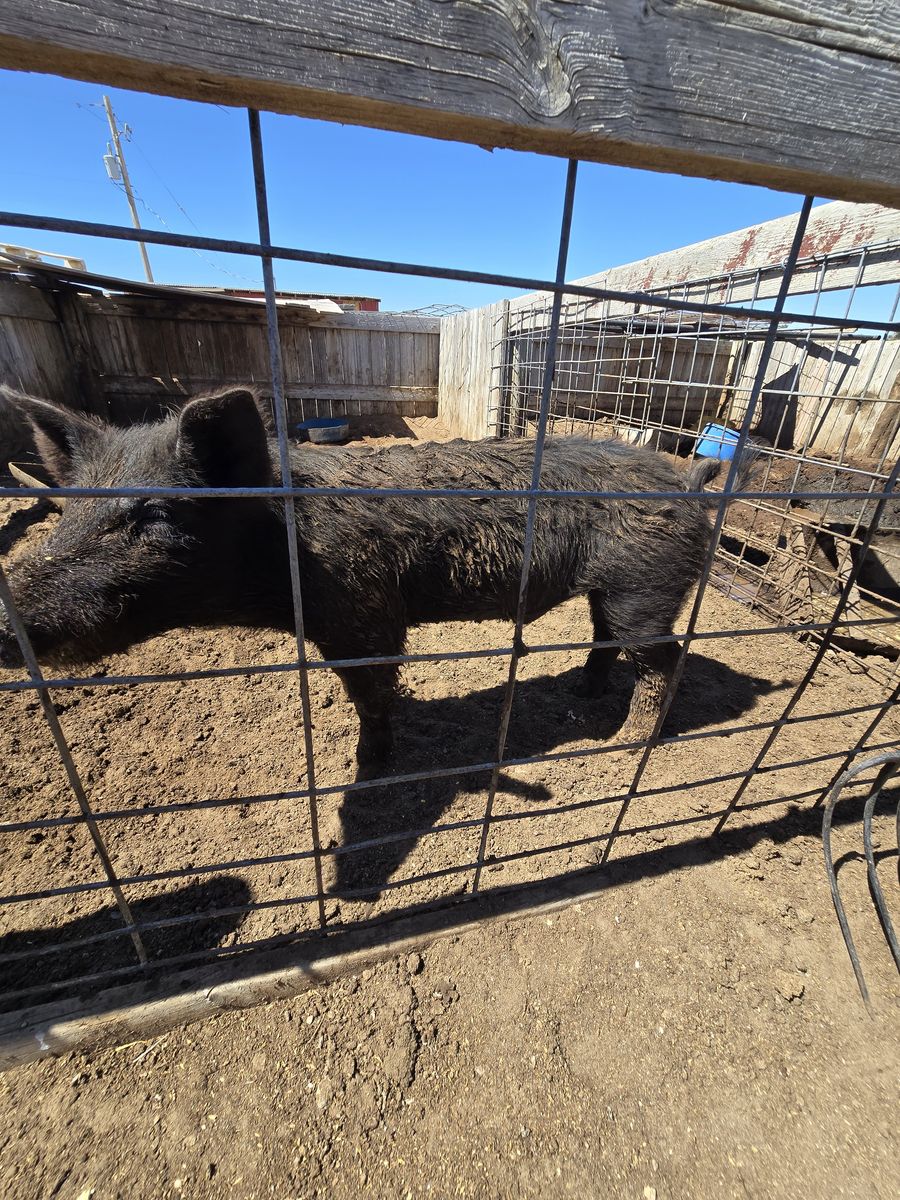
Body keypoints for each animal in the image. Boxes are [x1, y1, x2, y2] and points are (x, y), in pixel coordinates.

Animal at [0, 385, 737, 771]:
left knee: (663, 658)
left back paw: (624, 744)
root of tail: (688, 480)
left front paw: (369, 765)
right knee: (607, 638)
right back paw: (583, 695)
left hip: (647, 585)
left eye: (154, 516)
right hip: (614, 590)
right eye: (66, 510)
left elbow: (372, 694)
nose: (8, 624)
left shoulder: (364, 615)